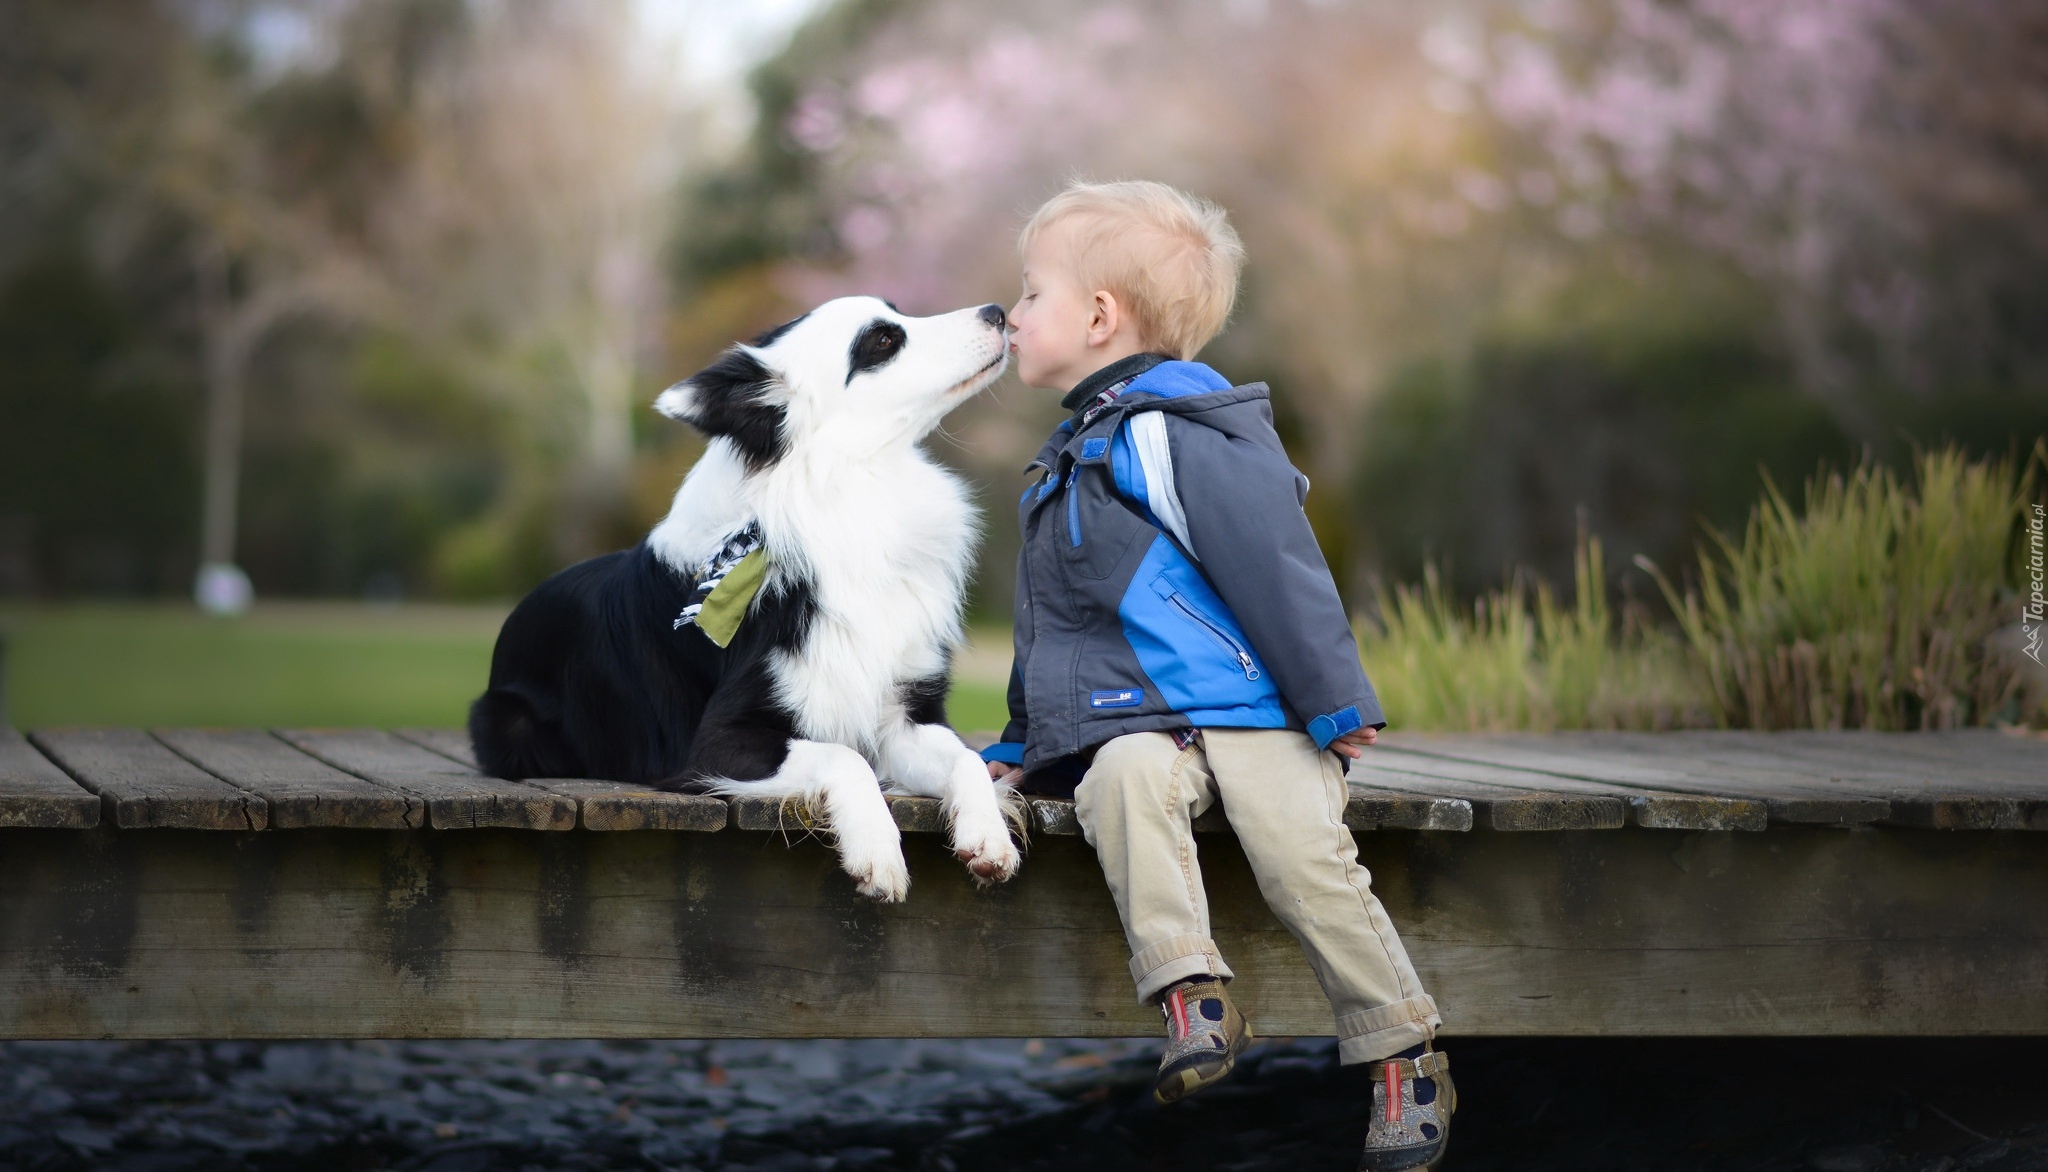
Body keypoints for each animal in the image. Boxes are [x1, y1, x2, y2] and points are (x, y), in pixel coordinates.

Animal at [468, 295, 1019, 897]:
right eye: (881, 342)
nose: (997, 312)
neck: (848, 494)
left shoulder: (905, 715)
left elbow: (968, 758)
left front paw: (988, 836)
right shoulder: (716, 741)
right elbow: (846, 757)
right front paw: (876, 852)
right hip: (512, 725)